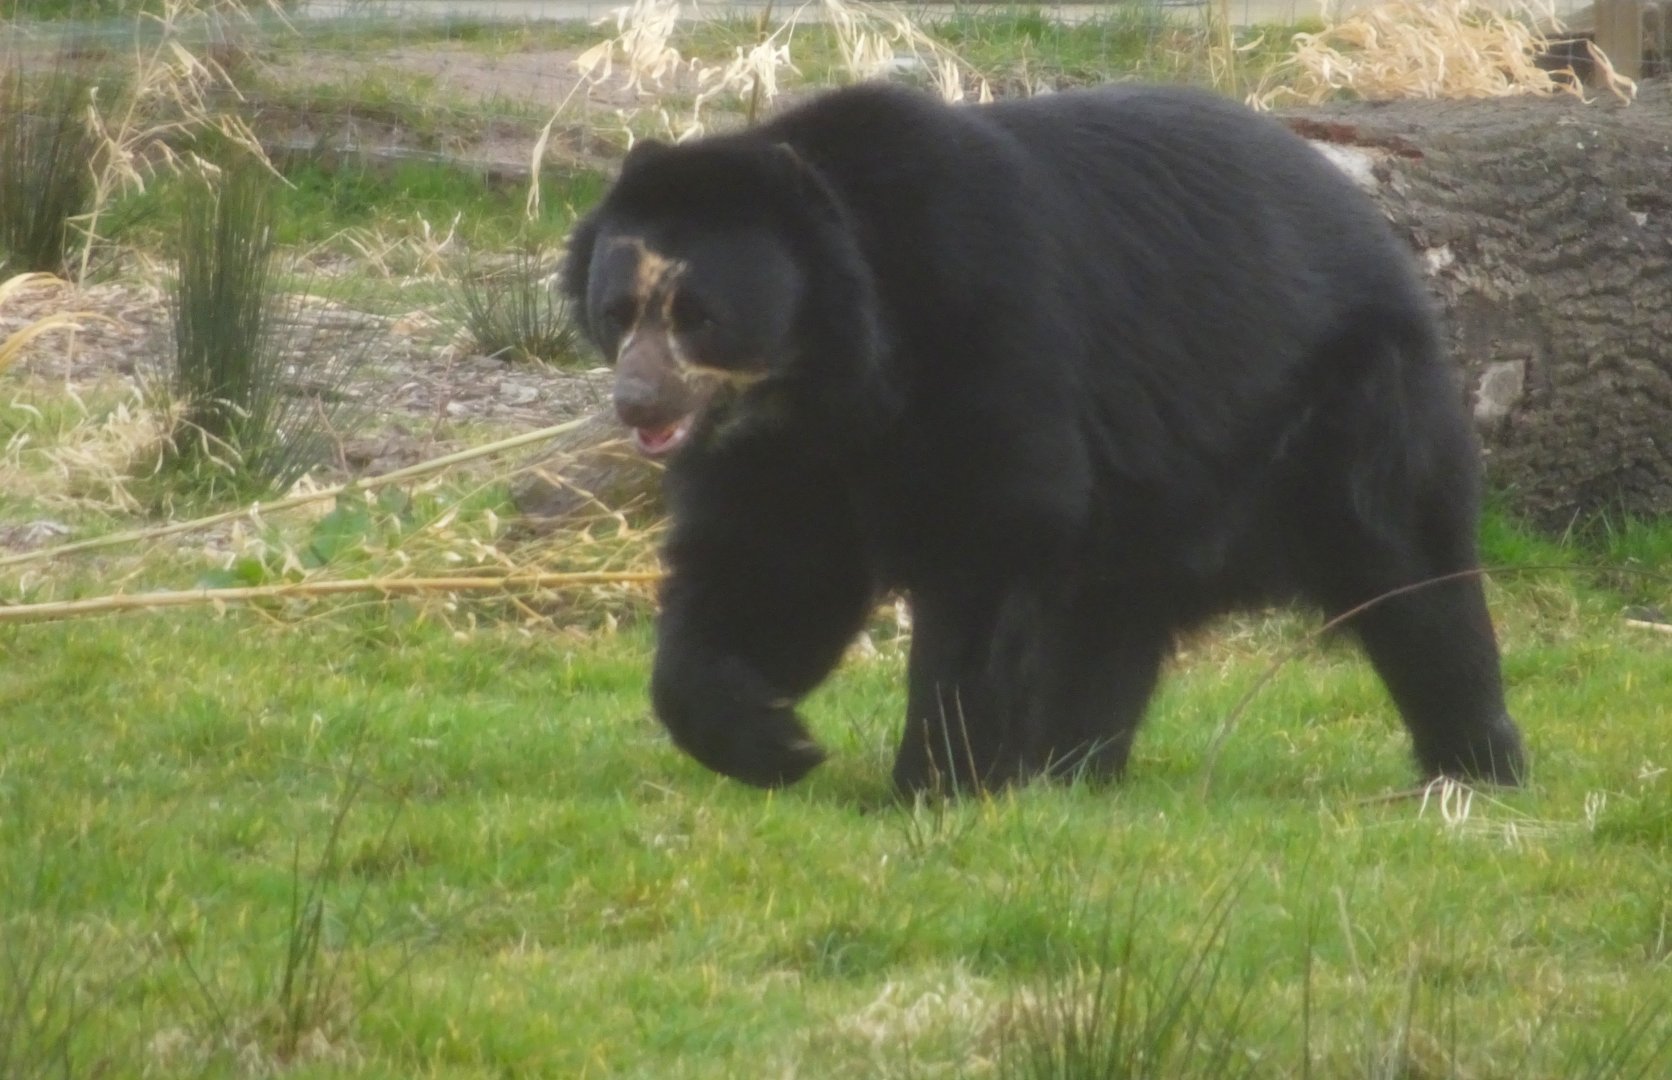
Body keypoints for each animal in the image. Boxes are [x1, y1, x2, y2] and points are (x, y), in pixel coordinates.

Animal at [560, 81, 1527, 795]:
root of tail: (1369, 220)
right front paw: (768, 738)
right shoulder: (779, 452)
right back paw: (1072, 768)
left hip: (1342, 407)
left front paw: (934, 780)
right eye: (618, 313)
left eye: (699, 316)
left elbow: (991, 534)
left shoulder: (989, 333)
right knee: (1110, 620)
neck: (833, 370)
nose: (637, 403)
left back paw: (1475, 765)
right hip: (1161, 497)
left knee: (1409, 573)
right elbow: (768, 570)